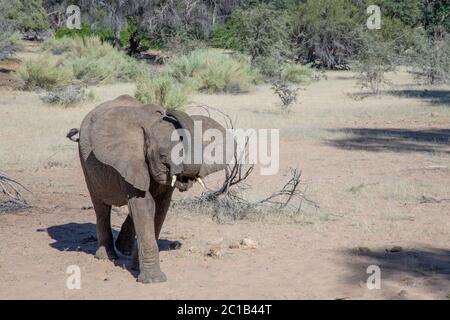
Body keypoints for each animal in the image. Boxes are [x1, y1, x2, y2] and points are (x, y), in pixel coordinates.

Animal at [68, 94, 230, 282]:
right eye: (163, 156)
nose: (166, 111)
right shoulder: (131, 161)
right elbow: (143, 205)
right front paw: (153, 280)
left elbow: (159, 208)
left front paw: (136, 267)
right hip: (86, 161)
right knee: (101, 207)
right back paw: (106, 257)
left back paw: (124, 250)